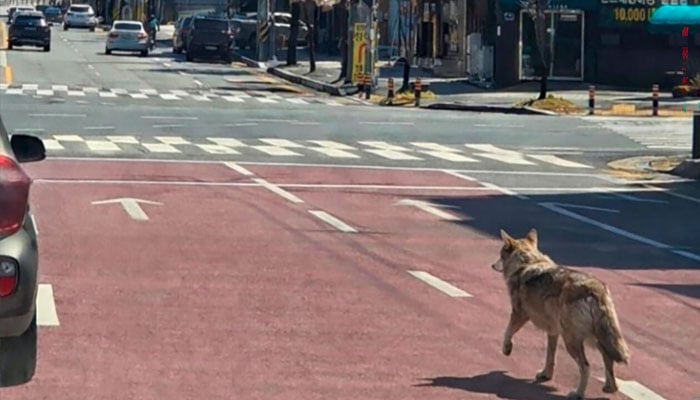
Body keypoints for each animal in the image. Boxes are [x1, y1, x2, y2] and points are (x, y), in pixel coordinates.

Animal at [491, 228, 630, 400]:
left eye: (500, 254)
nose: (492, 265)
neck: (527, 263)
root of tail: (595, 289)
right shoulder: (552, 331)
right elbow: (550, 357)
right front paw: (546, 375)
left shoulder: (519, 314)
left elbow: (507, 332)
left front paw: (506, 349)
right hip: (595, 338)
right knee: (608, 359)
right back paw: (610, 388)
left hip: (572, 341)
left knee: (586, 367)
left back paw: (578, 394)